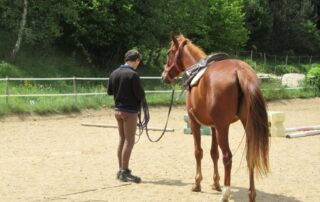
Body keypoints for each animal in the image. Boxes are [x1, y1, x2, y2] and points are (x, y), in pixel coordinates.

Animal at [161, 33, 268, 202]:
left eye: (168, 53)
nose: (164, 75)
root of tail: (240, 71)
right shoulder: (213, 126)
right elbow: (213, 153)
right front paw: (216, 183)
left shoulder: (195, 122)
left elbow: (198, 152)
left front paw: (197, 183)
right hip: (246, 124)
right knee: (249, 156)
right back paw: (251, 194)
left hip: (223, 127)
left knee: (227, 156)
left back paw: (225, 193)